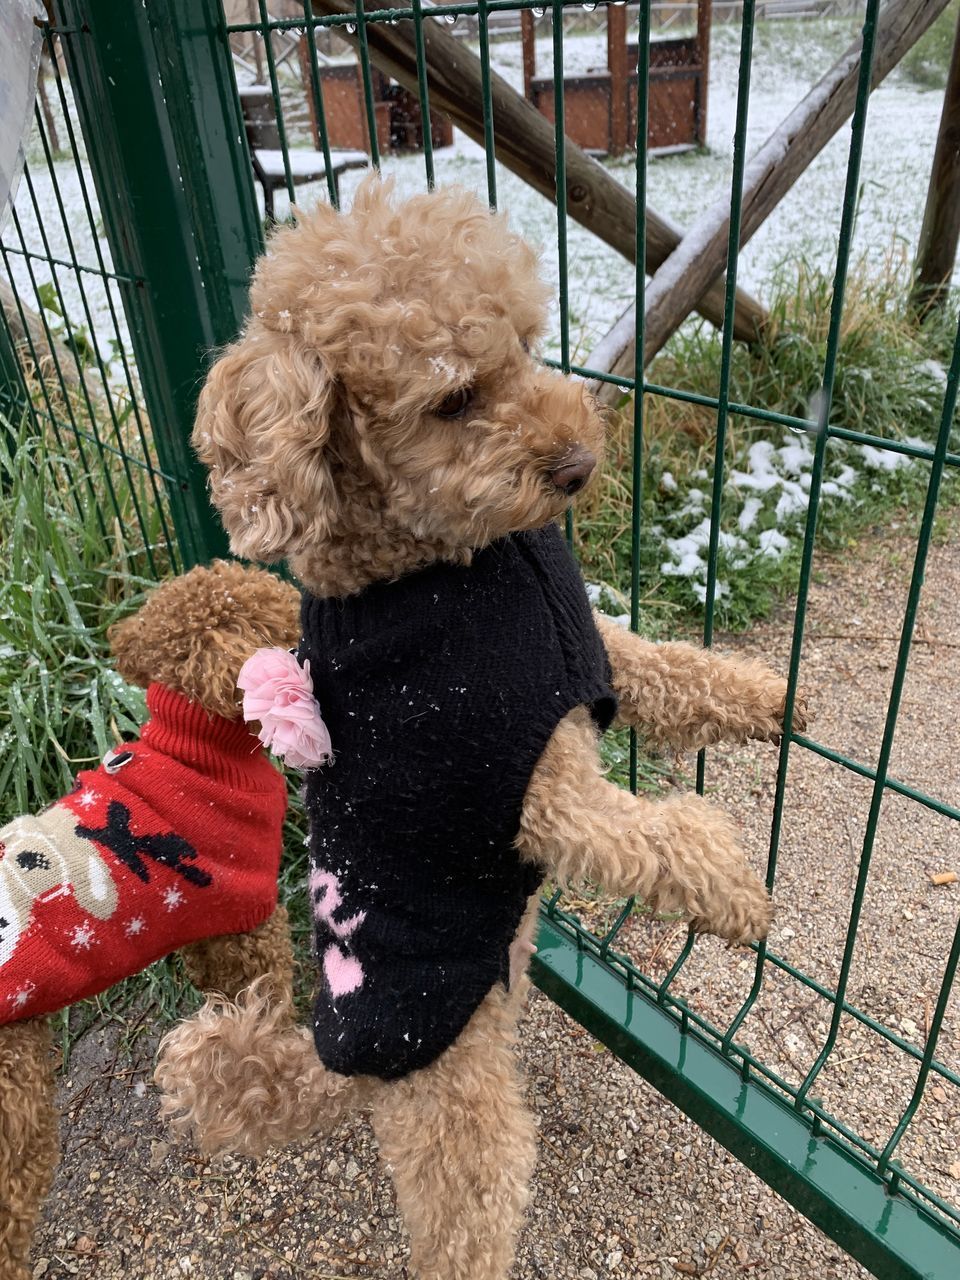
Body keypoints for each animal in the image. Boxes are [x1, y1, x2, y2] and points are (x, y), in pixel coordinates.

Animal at [0, 563, 300, 1280]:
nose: (306, 598)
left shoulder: (210, 927)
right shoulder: (253, 917)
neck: (197, 751)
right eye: (274, 605)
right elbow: (271, 992)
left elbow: (222, 990)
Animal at [156, 177, 803, 1280]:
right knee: (465, 1220)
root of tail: (330, 1058)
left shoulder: (583, 653)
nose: (580, 463)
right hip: (456, 1103)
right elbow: (658, 836)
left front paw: (766, 698)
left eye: (529, 347)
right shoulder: (540, 794)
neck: (443, 567)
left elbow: (670, 668)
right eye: (454, 400)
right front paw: (738, 897)